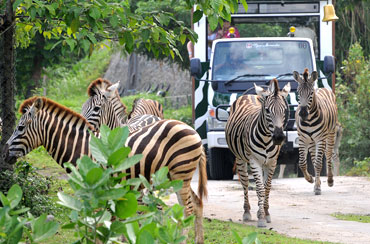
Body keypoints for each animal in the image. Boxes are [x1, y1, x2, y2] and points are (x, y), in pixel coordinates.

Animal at [3, 96, 208, 243]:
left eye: (20, 128)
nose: (4, 153)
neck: (82, 148)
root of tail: (192, 130)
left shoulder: (98, 188)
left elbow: (99, 223)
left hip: (180, 173)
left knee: (188, 210)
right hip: (176, 176)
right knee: (197, 204)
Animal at [224, 79, 290, 228]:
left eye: (284, 110)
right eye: (267, 110)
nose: (278, 137)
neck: (266, 138)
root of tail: (249, 95)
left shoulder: (272, 162)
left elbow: (267, 188)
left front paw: (266, 213)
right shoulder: (255, 161)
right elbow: (259, 188)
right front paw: (260, 218)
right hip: (240, 159)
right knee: (245, 183)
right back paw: (247, 212)